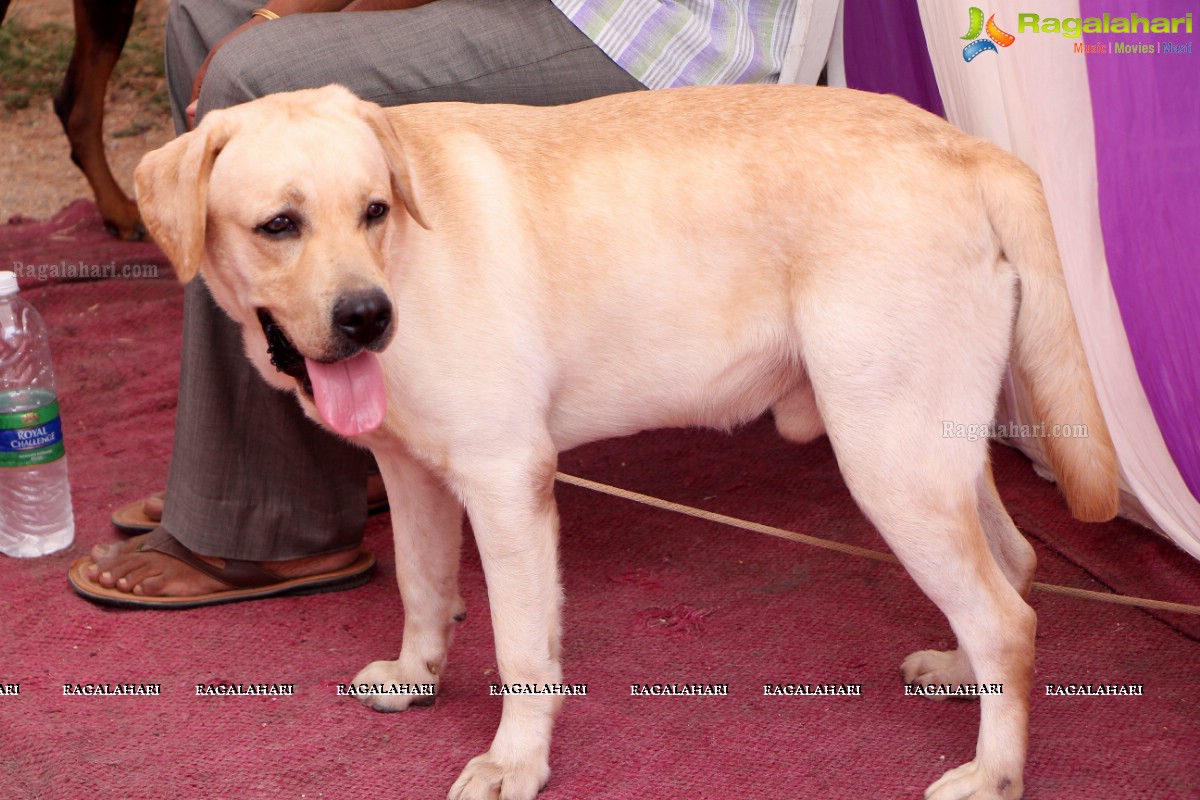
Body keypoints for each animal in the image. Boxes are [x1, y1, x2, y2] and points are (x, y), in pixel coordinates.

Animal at [136, 84, 1118, 796]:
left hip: (887, 458)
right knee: (1015, 567)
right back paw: (959, 671)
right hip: (929, 446)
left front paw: (517, 761)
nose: (368, 318)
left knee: (1007, 618)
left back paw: (994, 774)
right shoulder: (412, 474)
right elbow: (421, 588)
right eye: (280, 225)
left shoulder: (507, 482)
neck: (406, 261)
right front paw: (419, 674)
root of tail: (969, 147)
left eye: (376, 210)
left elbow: (522, 649)